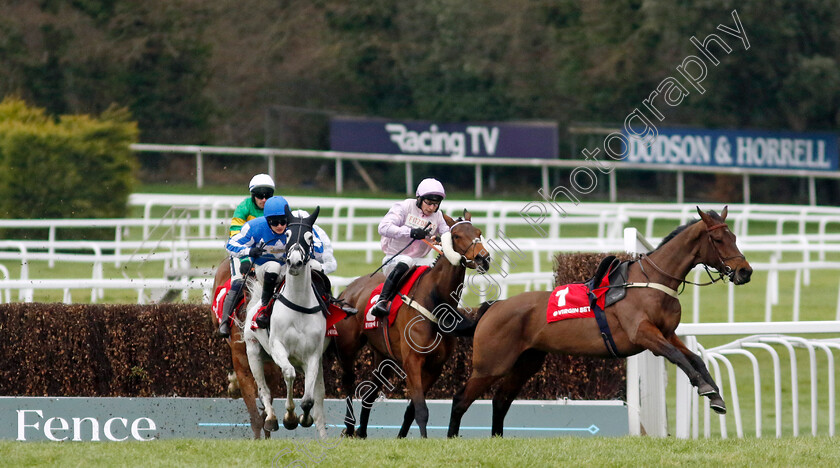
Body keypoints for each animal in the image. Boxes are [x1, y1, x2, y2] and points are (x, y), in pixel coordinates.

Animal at [243, 206, 332, 438]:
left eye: (310, 237)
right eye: (288, 235)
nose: (294, 262)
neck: (299, 304)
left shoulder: (313, 356)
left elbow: (309, 399)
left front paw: (303, 417)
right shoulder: (278, 348)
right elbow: (289, 374)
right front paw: (290, 417)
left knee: (319, 400)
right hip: (253, 351)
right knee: (264, 390)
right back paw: (271, 418)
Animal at [334, 212, 492, 438]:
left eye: (478, 232)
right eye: (457, 235)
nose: (483, 258)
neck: (434, 301)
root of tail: (348, 290)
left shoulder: (435, 366)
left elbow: (413, 409)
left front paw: (403, 438)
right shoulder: (412, 361)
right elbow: (421, 408)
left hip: (383, 356)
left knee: (370, 393)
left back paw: (362, 431)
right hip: (347, 349)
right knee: (348, 383)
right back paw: (349, 427)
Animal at [450, 207, 752, 436]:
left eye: (735, 236)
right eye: (719, 239)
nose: (745, 271)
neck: (651, 282)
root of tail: (493, 307)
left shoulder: (667, 332)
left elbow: (694, 358)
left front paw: (716, 396)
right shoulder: (644, 334)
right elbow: (678, 356)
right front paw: (705, 388)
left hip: (526, 363)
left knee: (501, 400)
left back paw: (497, 438)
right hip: (491, 364)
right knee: (461, 399)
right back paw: (452, 437)